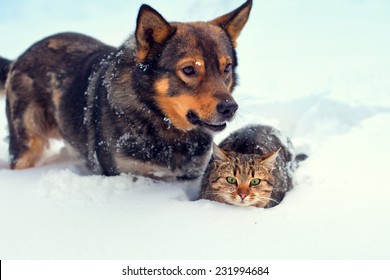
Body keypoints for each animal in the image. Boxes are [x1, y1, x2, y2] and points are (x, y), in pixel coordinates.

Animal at [1, 1, 251, 180]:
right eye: (189, 70)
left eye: (226, 68)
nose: (230, 108)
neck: (158, 120)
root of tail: (21, 56)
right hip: (27, 146)